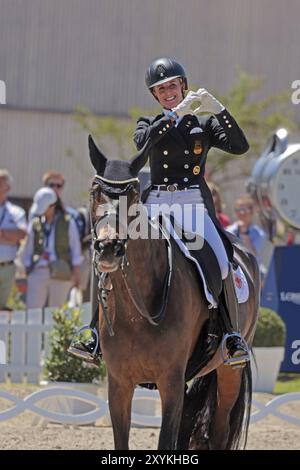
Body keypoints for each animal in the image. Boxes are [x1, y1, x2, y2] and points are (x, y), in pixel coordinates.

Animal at [87, 135, 260, 448]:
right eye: (95, 192)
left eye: (133, 194)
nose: (108, 248)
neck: (138, 310)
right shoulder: (119, 383)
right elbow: (123, 441)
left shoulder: (171, 381)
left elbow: (166, 440)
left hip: (229, 370)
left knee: (219, 430)